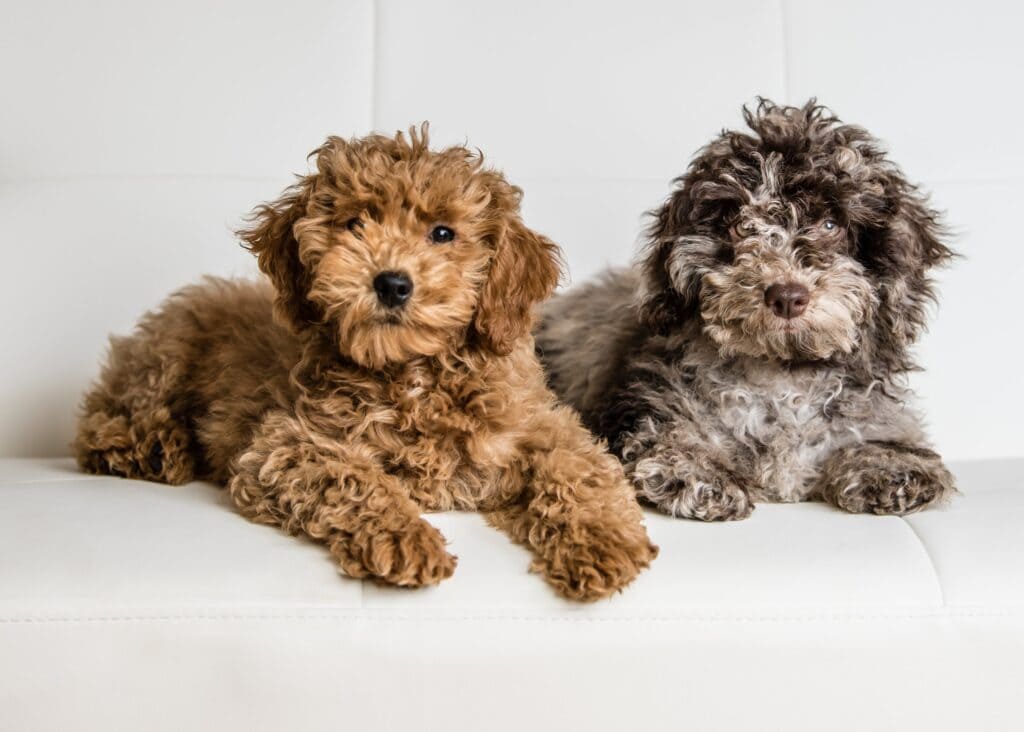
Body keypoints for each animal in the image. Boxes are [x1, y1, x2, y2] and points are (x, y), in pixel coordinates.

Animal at [77, 124, 655, 601]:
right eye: (355, 224)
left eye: (442, 233)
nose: (392, 282)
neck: (413, 375)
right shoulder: (285, 445)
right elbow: (356, 477)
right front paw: (408, 540)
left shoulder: (543, 427)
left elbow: (580, 470)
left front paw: (604, 542)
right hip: (167, 355)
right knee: (103, 420)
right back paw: (153, 449)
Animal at [540, 101, 954, 522]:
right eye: (741, 226)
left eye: (830, 224)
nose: (787, 295)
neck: (783, 376)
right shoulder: (647, 402)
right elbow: (672, 433)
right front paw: (696, 469)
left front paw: (889, 466)